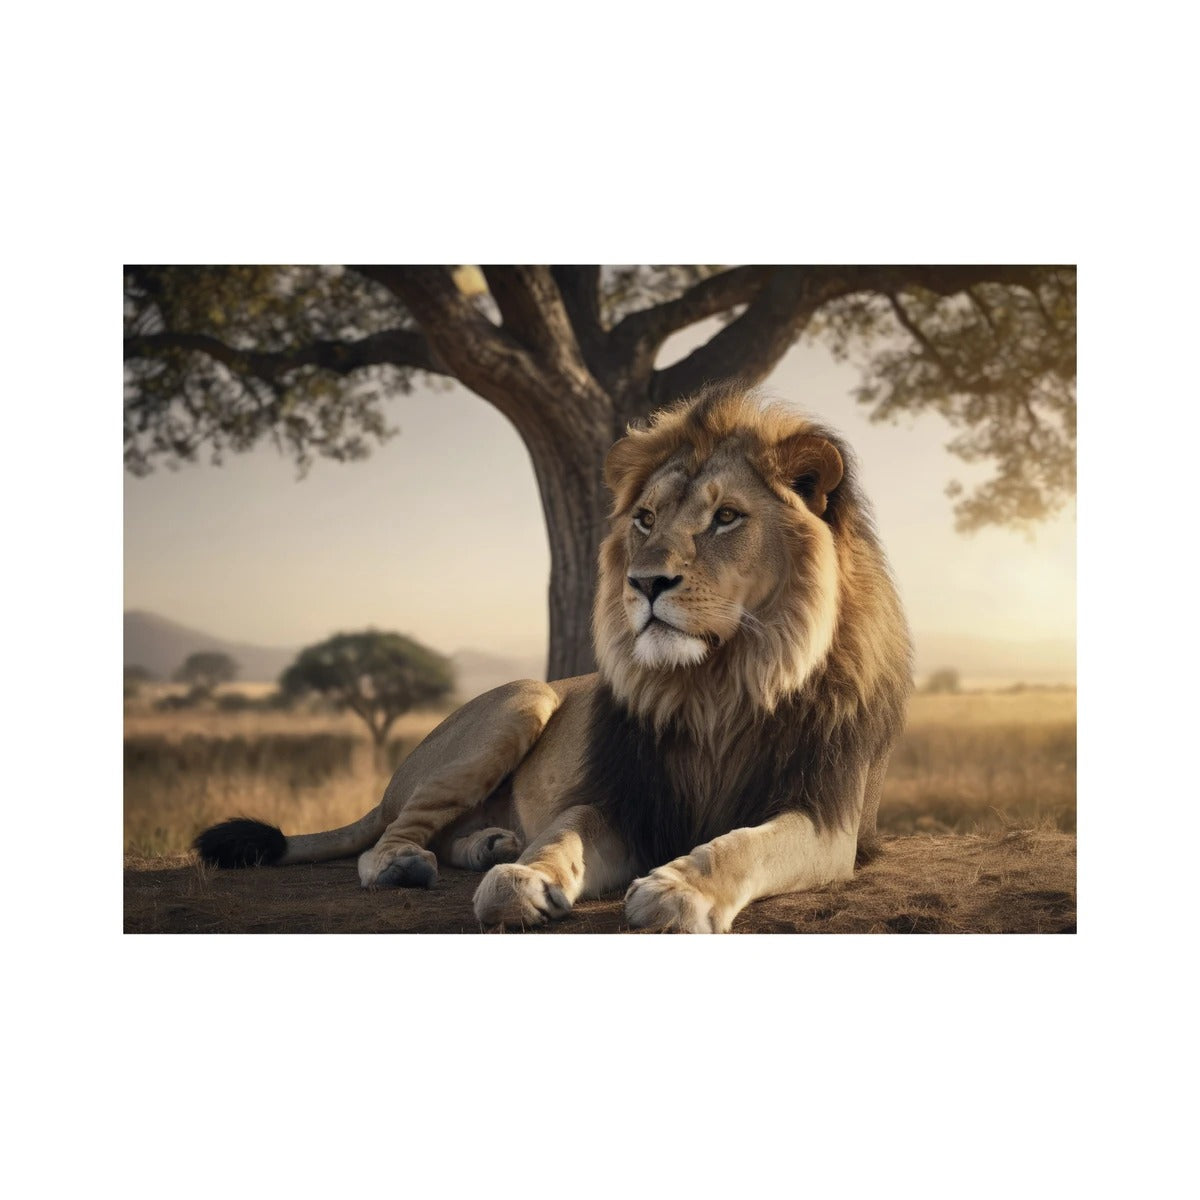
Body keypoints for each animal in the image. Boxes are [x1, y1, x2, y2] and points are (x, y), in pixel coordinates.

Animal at [195, 384, 912, 932]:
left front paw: (677, 889)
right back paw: (422, 860)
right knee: (387, 837)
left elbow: (738, 846)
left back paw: (488, 843)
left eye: (727, 518)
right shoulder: (623, 802)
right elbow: (563, 834)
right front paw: (522, 878)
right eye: (646, 519)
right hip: (526, 698)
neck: (716, 685)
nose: (645, 583)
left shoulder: (828, 820)